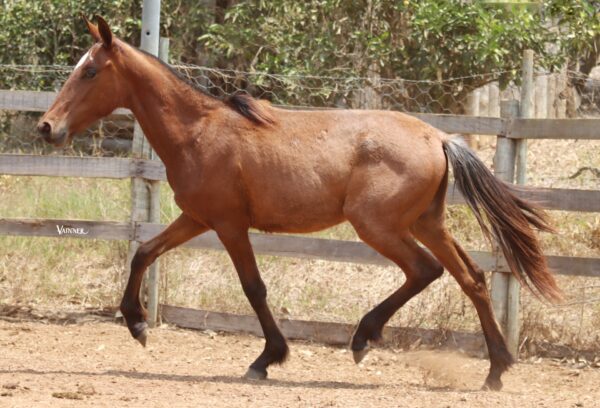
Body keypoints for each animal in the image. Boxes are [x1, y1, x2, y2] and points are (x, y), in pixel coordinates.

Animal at [38, 16, 564, 392]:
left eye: (89, 71)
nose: (47, 127)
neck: (198, 131)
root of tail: (438, 136)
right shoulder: (196, 218)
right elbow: (144, 252)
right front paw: (136, 324)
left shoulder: (229, 224)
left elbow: (254, 288)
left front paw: (266, 359)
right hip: (426, 222)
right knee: (470, 277)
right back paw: (496, 370)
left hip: (378, 225)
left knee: (425, 270)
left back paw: (363, 338)